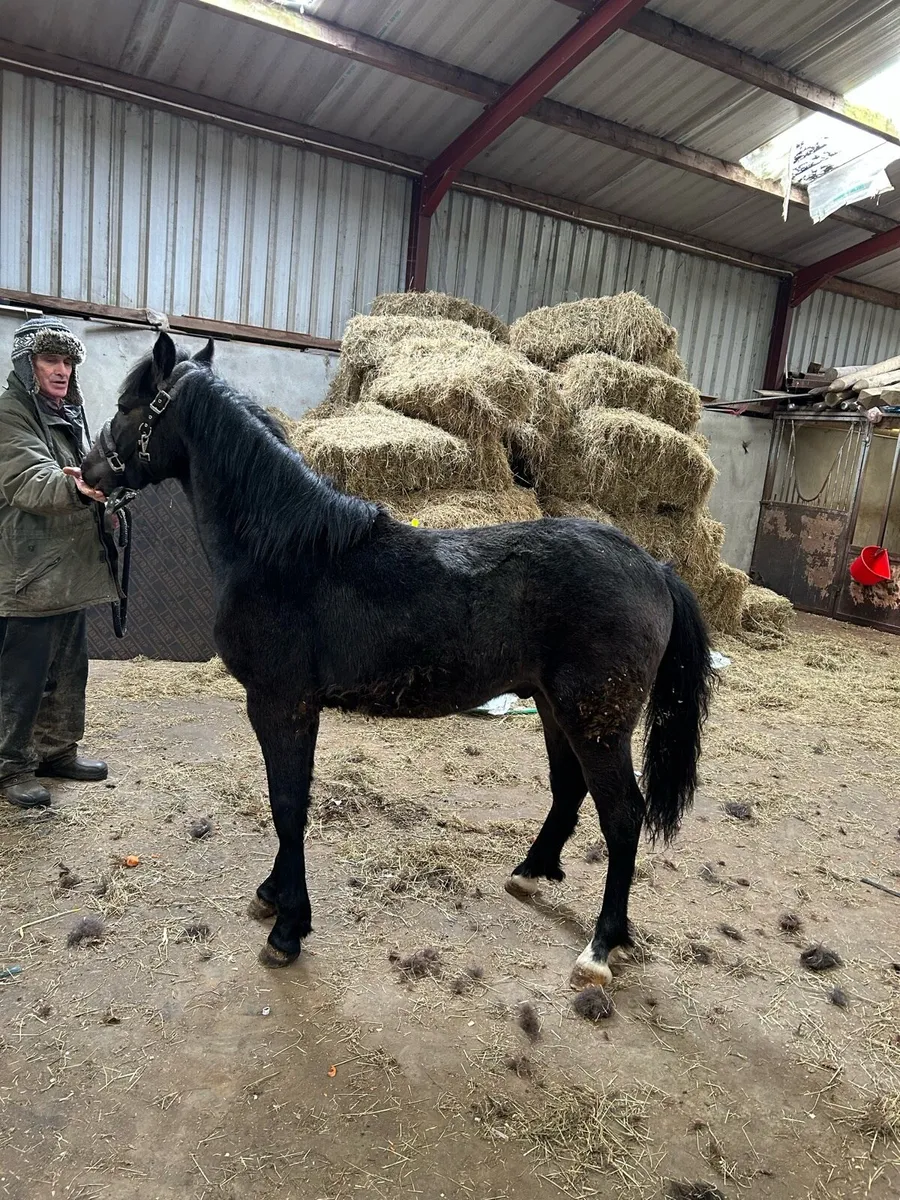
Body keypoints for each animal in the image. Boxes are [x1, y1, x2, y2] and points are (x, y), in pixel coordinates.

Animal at [81, 333, 714, 989]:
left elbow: (288, 804)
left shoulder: (281, 703)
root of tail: (655, 568)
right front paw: (273, 896)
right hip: (555, 707)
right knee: (569, 789)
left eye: (128, 406)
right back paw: (529, 873)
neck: (285, 551)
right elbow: (289, 799)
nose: (89, 471)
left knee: (623, 816)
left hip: (596, 722)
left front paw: (288, 928)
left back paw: (600, 946)